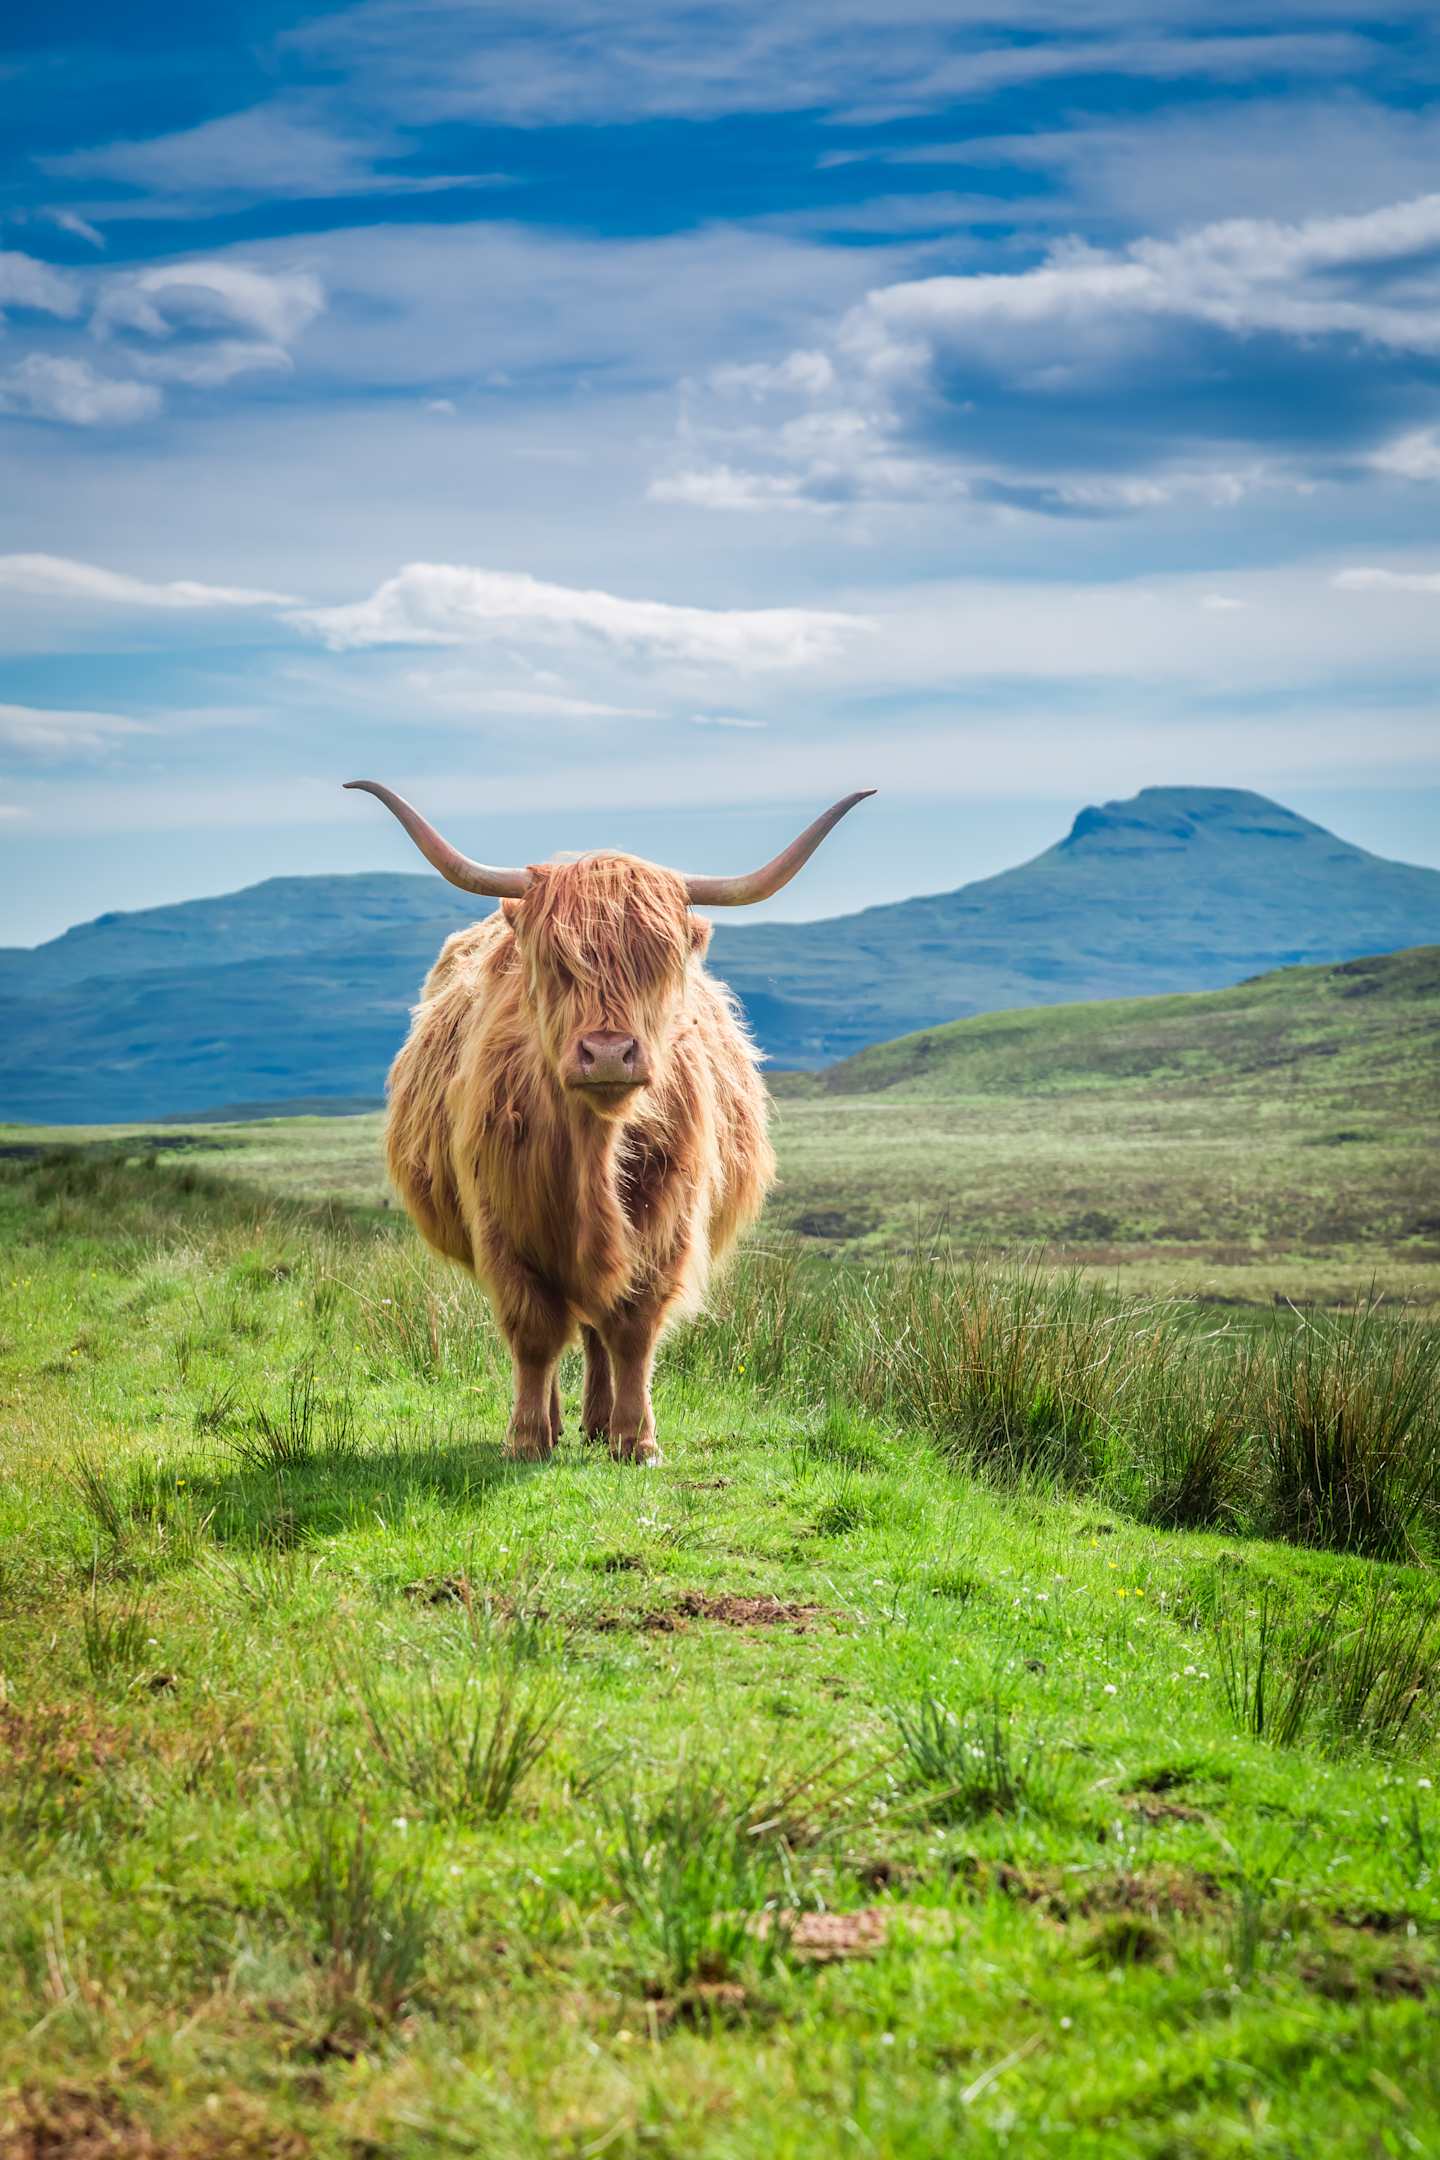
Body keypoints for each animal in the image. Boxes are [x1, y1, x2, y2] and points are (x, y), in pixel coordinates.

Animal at [346, 780, 873, 1465]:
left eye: (660, 963)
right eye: (557, 963)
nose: (607, 1053)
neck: (593, 1149)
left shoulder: (667, 1226)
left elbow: (633, 1330)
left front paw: (636, 1439)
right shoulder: (502, 1226)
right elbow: (533, 1333)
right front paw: (526, 1439)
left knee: (598, 1328)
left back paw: (597, 1423)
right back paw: (556, 1422)